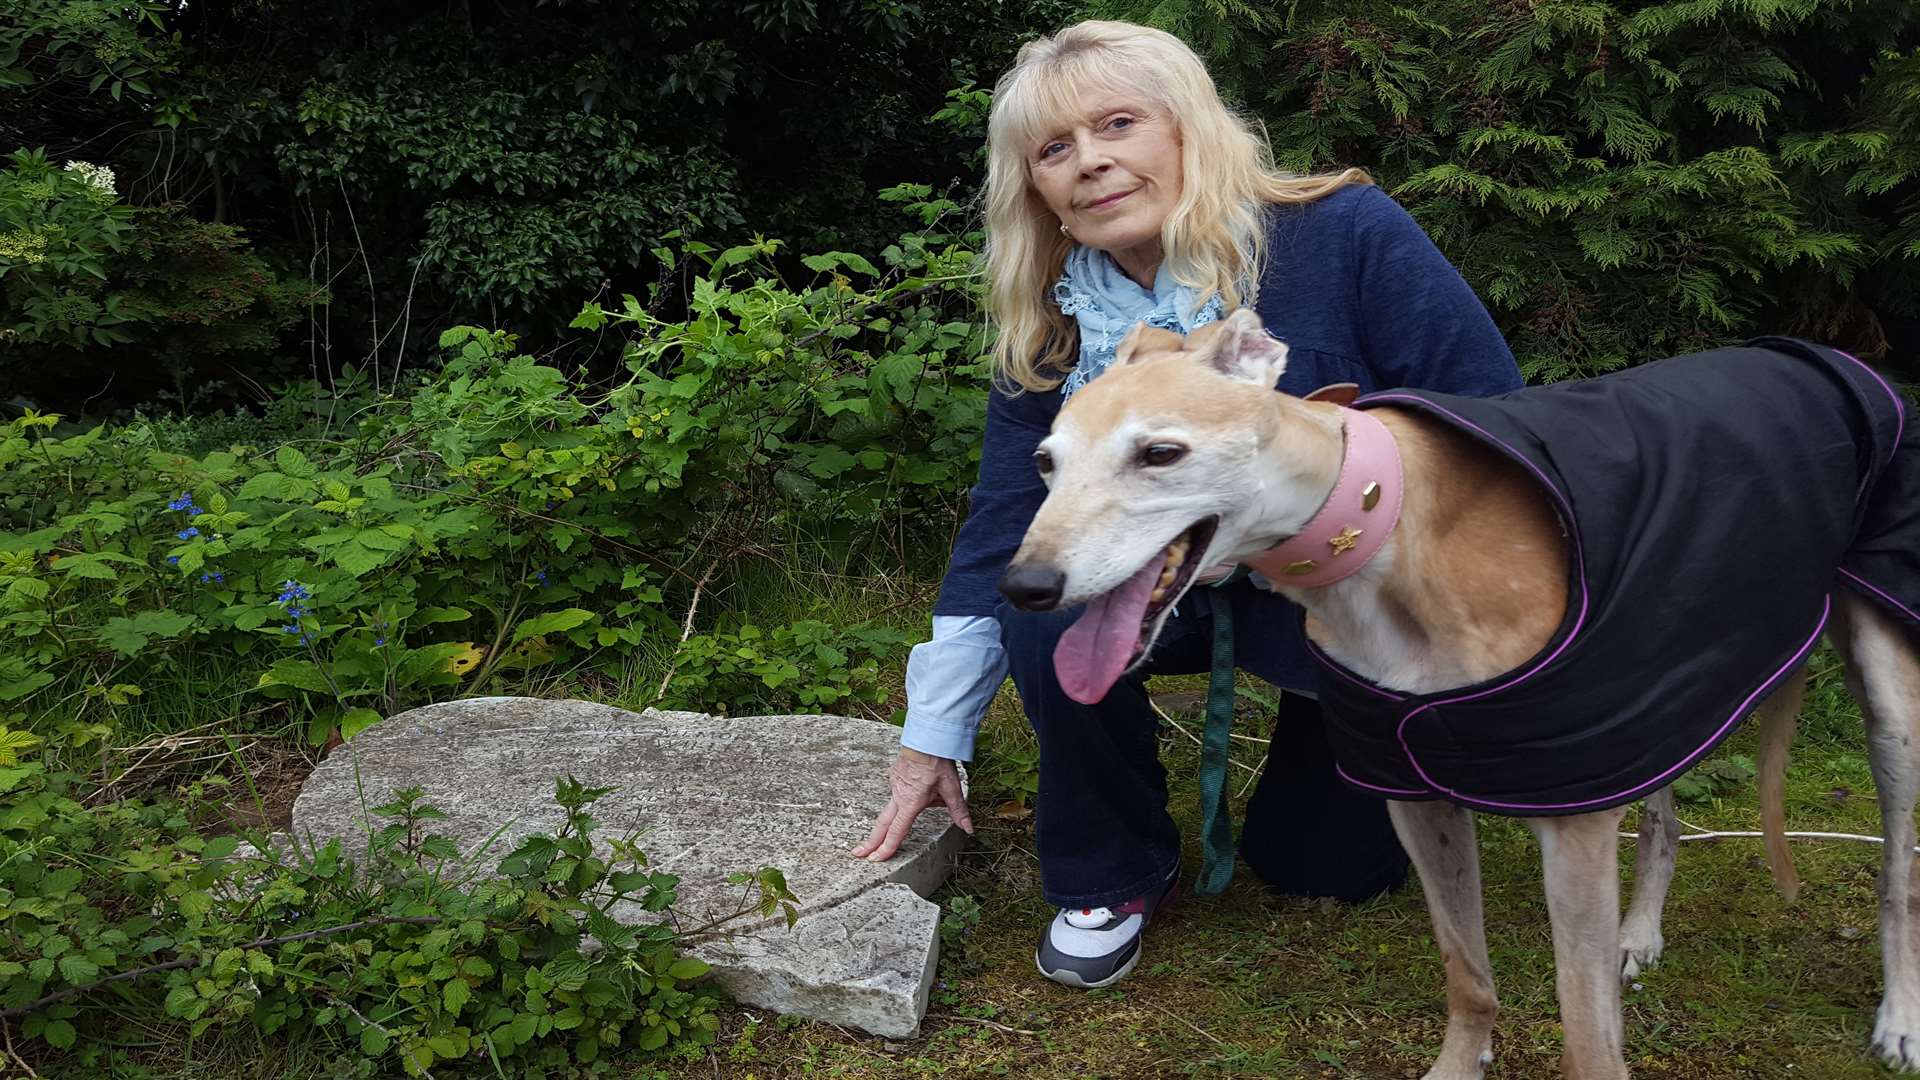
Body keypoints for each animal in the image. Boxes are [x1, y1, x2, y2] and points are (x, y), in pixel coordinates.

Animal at [998, 307, 1920, 1076]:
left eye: (1161, 453)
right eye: (1044, 463)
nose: (1025, 587)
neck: (1386, 533)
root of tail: (1835, 354)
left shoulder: (1571, 819)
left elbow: (1588, 1035)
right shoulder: (1417, 792)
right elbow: (1467, 972)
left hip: (1887, 697)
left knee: (1898, 869)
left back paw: (1899, 1018)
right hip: (1654, 690)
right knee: (1663, 816)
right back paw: (1640, 933)